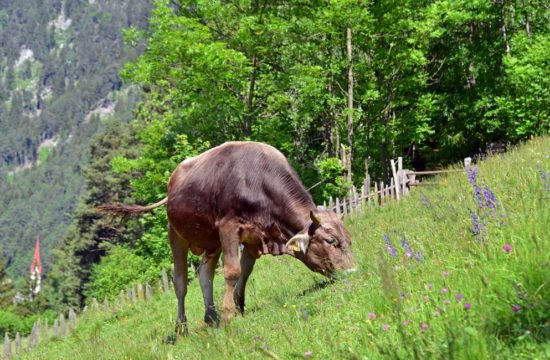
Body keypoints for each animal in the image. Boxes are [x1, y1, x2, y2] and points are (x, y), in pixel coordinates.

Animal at [101, 141, 356, 338]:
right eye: (331, 241)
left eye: (349, 239)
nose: (353, 272)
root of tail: (173, 181)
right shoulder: (229, 228)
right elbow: (232, 271)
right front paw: (227, 314)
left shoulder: (255, 237)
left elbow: (245, 271)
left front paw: (236, 306)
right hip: (176, 235)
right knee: (180, 282)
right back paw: (182, 327)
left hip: (211, 241)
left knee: (205, 273)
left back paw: (210, 316)